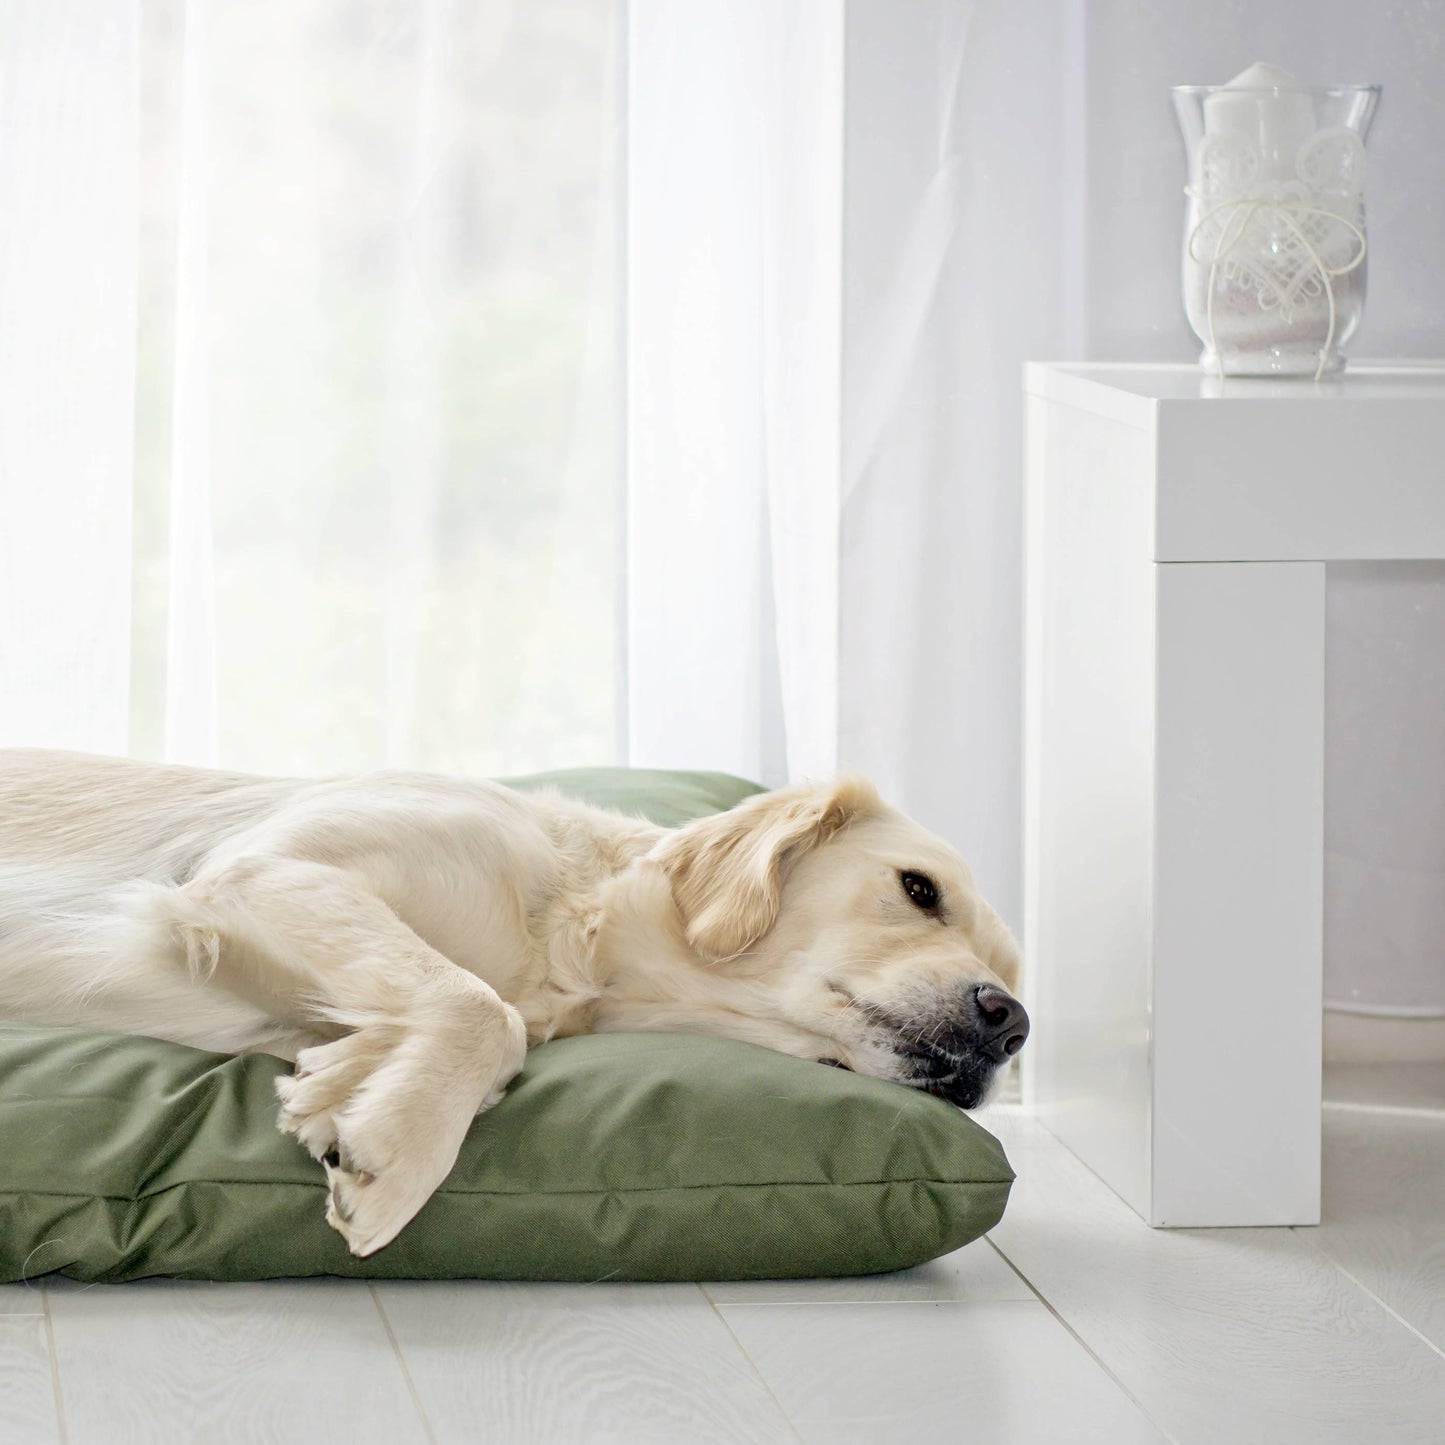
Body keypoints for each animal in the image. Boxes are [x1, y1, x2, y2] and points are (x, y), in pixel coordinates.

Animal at [0, 751, 1028, 1260]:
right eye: (918, 889)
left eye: (1007, 966)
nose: (1010, 1023)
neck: (568, 929)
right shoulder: (267, 866)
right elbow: (480, 1005)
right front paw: (397, 1153)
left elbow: (464, 1017)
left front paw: (359, 1089)